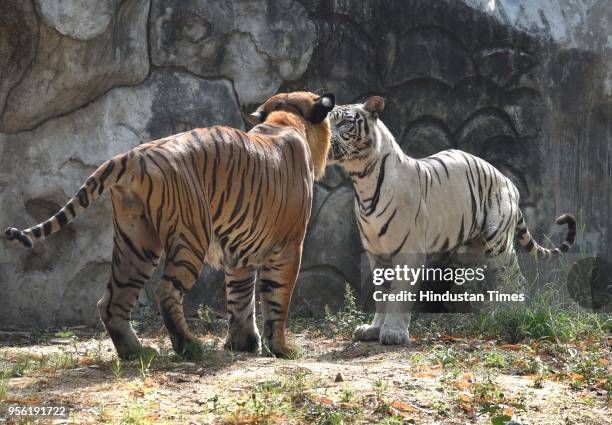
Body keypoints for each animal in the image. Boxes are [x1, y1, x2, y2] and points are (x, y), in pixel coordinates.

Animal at [4, 91, 334, 360]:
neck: (285, 120)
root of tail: (133, 155)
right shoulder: (289, 246)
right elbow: (277, 299)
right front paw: (281, 348)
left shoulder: (241, 251)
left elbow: (241, 296)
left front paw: (243, 344)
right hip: (191, 236)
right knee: (165, 292)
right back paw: (189, 346)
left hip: (136, 242)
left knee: (111, 301)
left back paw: (136, 352)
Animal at [328, 96, 576, 344]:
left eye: (344, 123)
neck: (363, 180)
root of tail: (508, 181)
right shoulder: (375, 254)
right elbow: (381, 294)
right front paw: (374, 328)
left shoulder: (409, 251)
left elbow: (399, 293)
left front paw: (394, 332)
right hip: (470, 252)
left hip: (498, 243)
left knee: (515, 280)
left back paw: (510, 316)